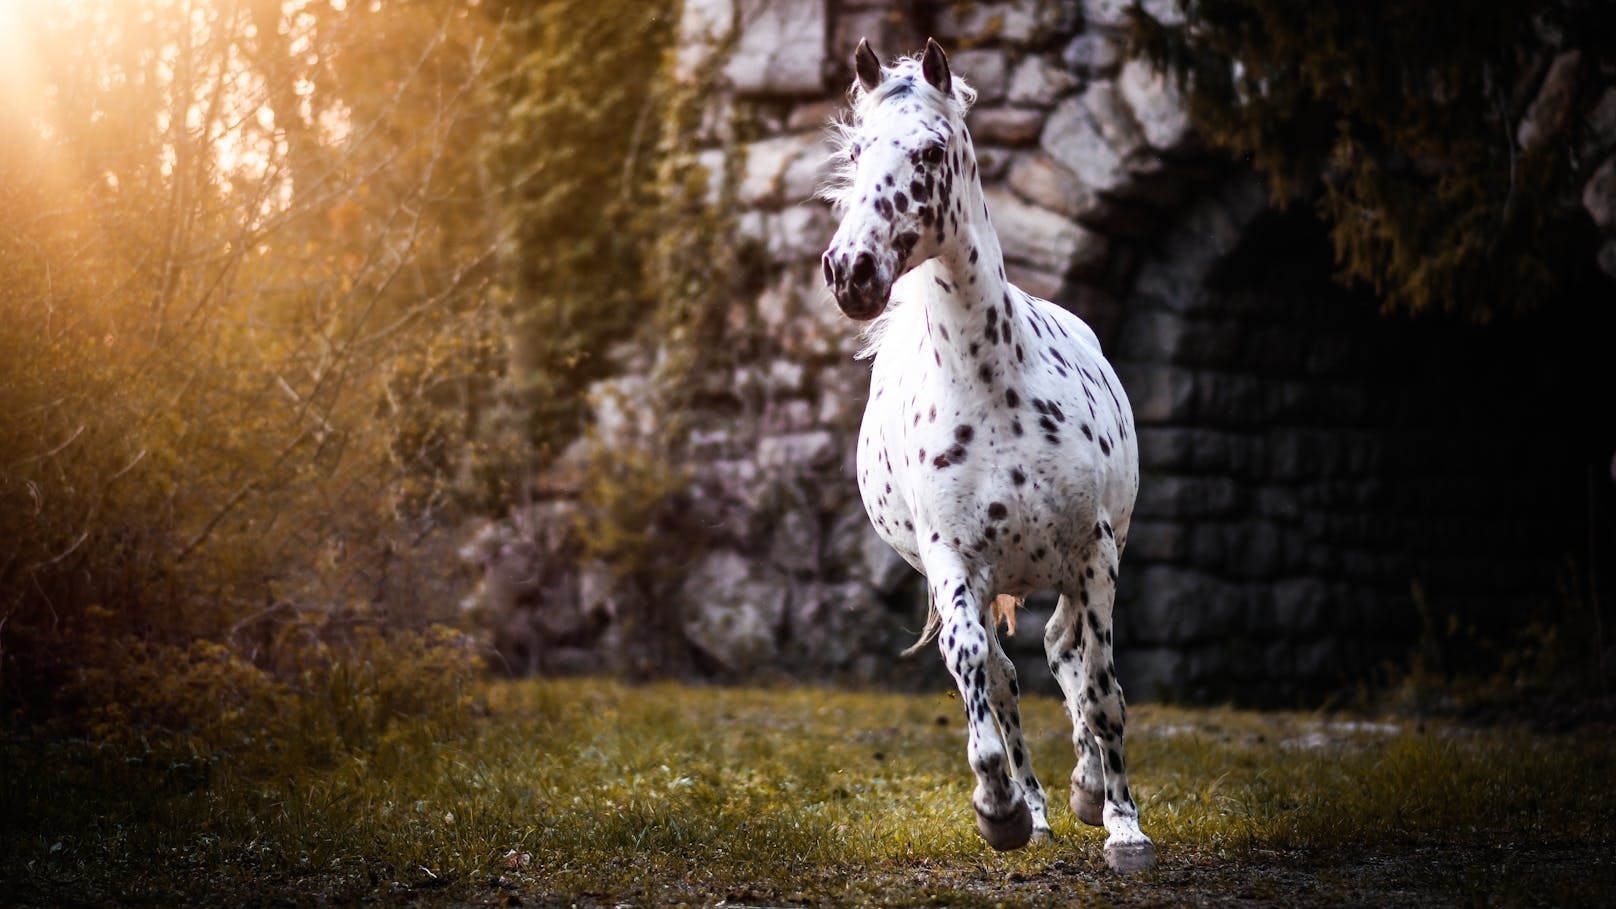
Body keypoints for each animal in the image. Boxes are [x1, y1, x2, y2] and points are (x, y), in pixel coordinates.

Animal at [820, 38, 1150, 866]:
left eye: (932, 149)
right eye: (857, 150)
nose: (850, 271)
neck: (992, 386)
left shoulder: (1094, 550)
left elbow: (1101, 686)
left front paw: (1124, 824)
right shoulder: (953, 560)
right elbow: (975, 665)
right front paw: (998, 808)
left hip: (1075, 567)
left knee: (1069, 654)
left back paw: (1088, 792)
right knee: (1004, 674)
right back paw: (1034, 806)